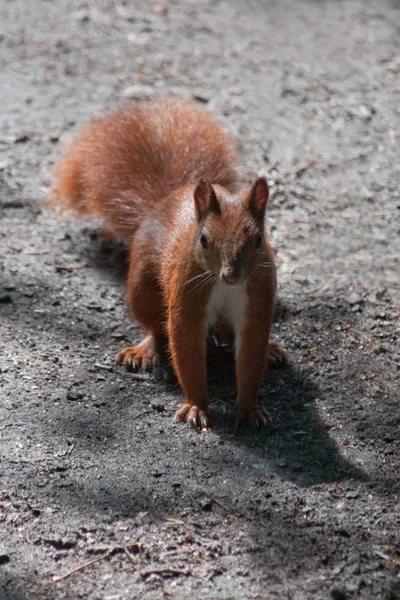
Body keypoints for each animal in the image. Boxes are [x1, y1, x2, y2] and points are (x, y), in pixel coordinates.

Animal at [51, 96, 286, 428]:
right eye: (203, 239)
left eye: (258, 240)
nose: (231, 276)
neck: (225, 288)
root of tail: (166, 199)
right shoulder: (187, 298)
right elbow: (185, 347)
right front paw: (197, 406)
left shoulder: (257, 301)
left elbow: (251, 355)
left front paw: (250, 408)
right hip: (142, 289)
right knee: (155, 326)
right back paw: (143, 350)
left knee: (228, 334)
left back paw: (272, 350)